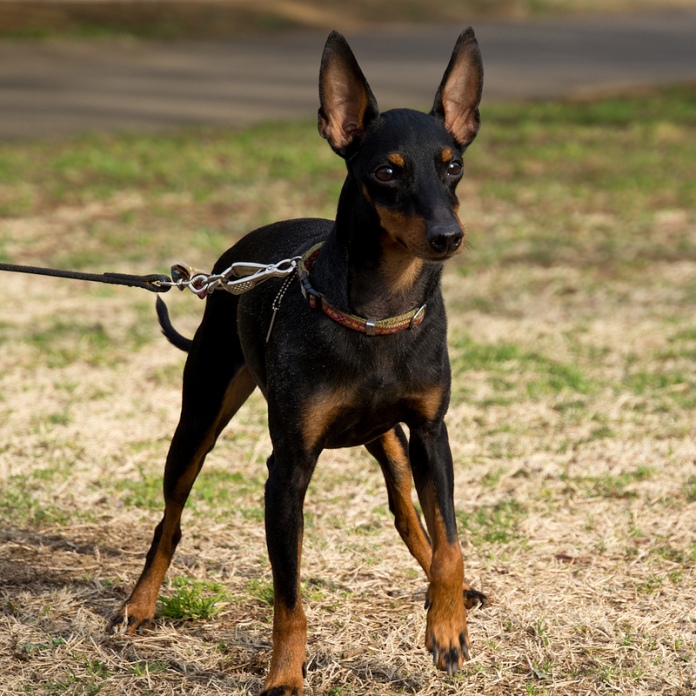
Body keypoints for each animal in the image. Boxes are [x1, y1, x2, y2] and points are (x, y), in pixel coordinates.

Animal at [111, 28, 486, 696]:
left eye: (453, 165)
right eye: (387, 171)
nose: (448, 236)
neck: (376, 314)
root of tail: (231, 266)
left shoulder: (431, 434)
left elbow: (449, 543)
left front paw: (445, 627)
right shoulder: (286, 471)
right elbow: (288, 597)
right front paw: (285, 677)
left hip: (391, 440)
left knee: (408, 514)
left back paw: (453, 595)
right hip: (199, 417)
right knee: (170, 518)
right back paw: (139, 605)